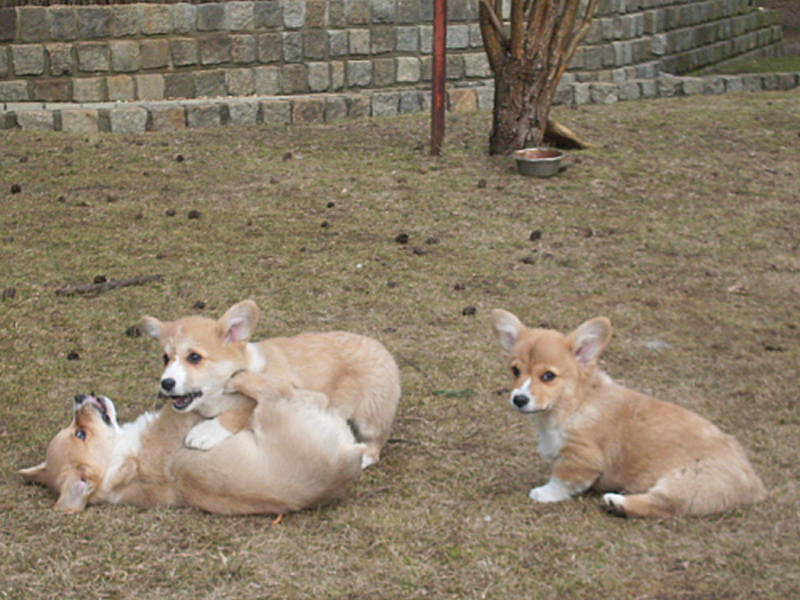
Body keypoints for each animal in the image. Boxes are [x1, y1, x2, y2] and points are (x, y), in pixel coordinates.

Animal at [141, 300, 404, 468]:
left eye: (194, 357)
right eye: (165, 358)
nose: (166, 383)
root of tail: (383, 350)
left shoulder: (286, 394)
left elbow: (244, 410)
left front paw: (207, 432)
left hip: (370, 417)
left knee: (375, 444)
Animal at [490, 310, 764, 516]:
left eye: (548, 376)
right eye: (515, 371)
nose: (519, 399)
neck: (575, 404)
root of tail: (754, 484)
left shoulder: (581, 456)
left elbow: (562, 479)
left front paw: (545, 493)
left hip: (687, 482)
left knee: (663, 505)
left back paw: (617, 503)